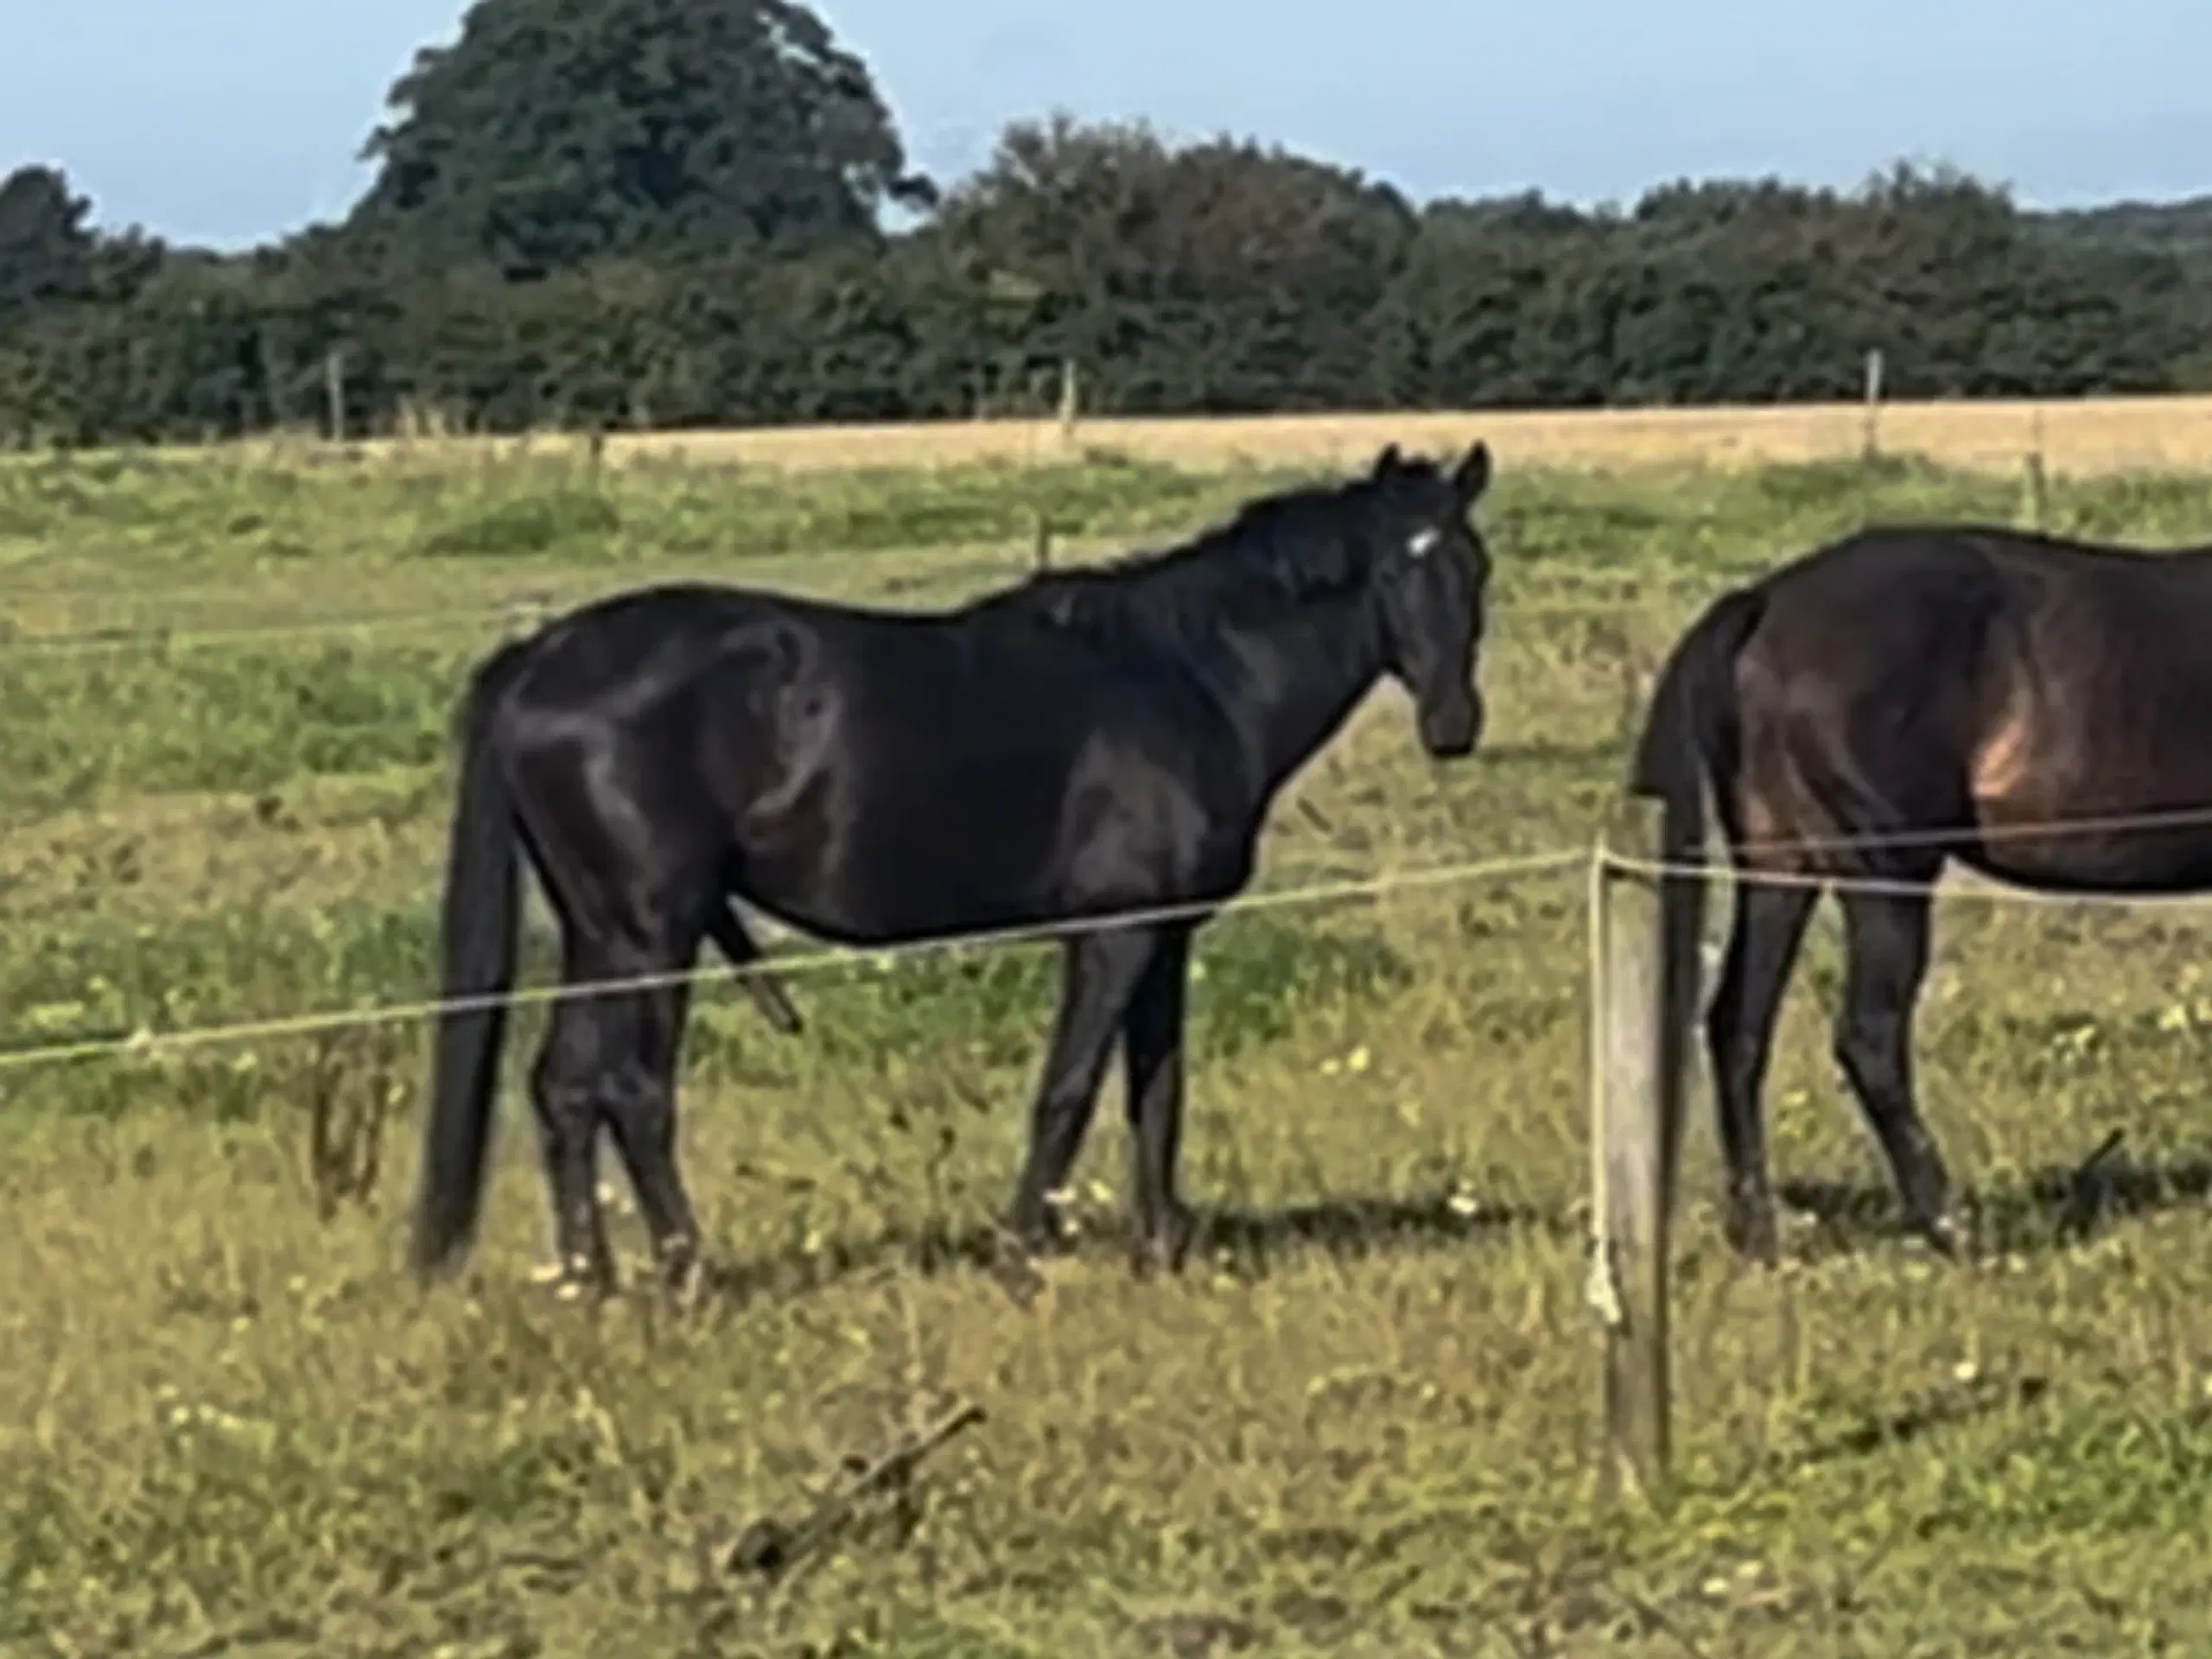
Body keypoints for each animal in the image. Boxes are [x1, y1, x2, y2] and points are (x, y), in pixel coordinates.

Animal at [1637, 526, 2212, 1265]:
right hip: (1886, 874)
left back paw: (1760, 1236)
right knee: (1869, 1036)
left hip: (1779, 872)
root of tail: (1765, 603)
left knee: (1738, 1026)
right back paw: (1947, 1224)